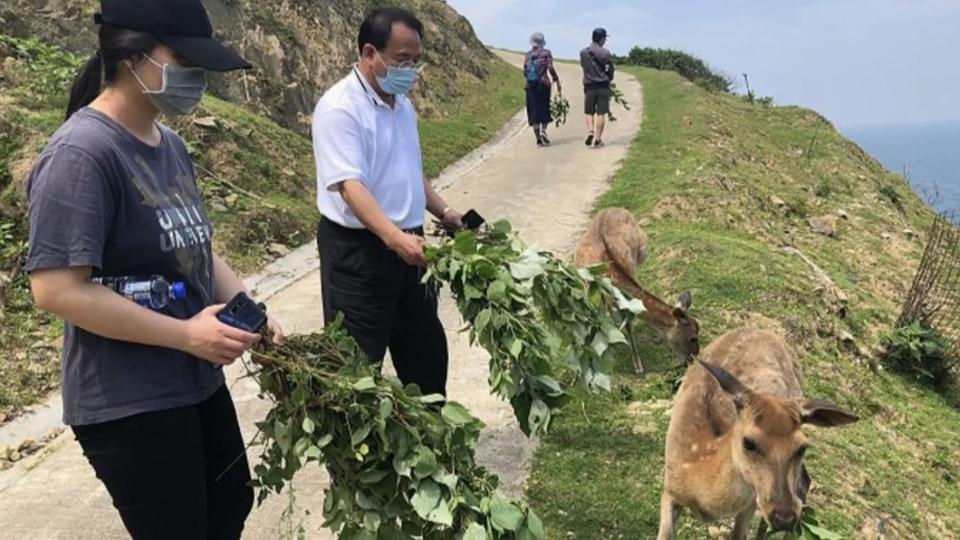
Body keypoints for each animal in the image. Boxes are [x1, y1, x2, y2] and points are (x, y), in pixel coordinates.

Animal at [572, 206, 700, 372]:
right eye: (693, 338)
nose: (694, 358)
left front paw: (637, 364)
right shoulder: (589, 291)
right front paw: (637, 365)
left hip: (642, 253)